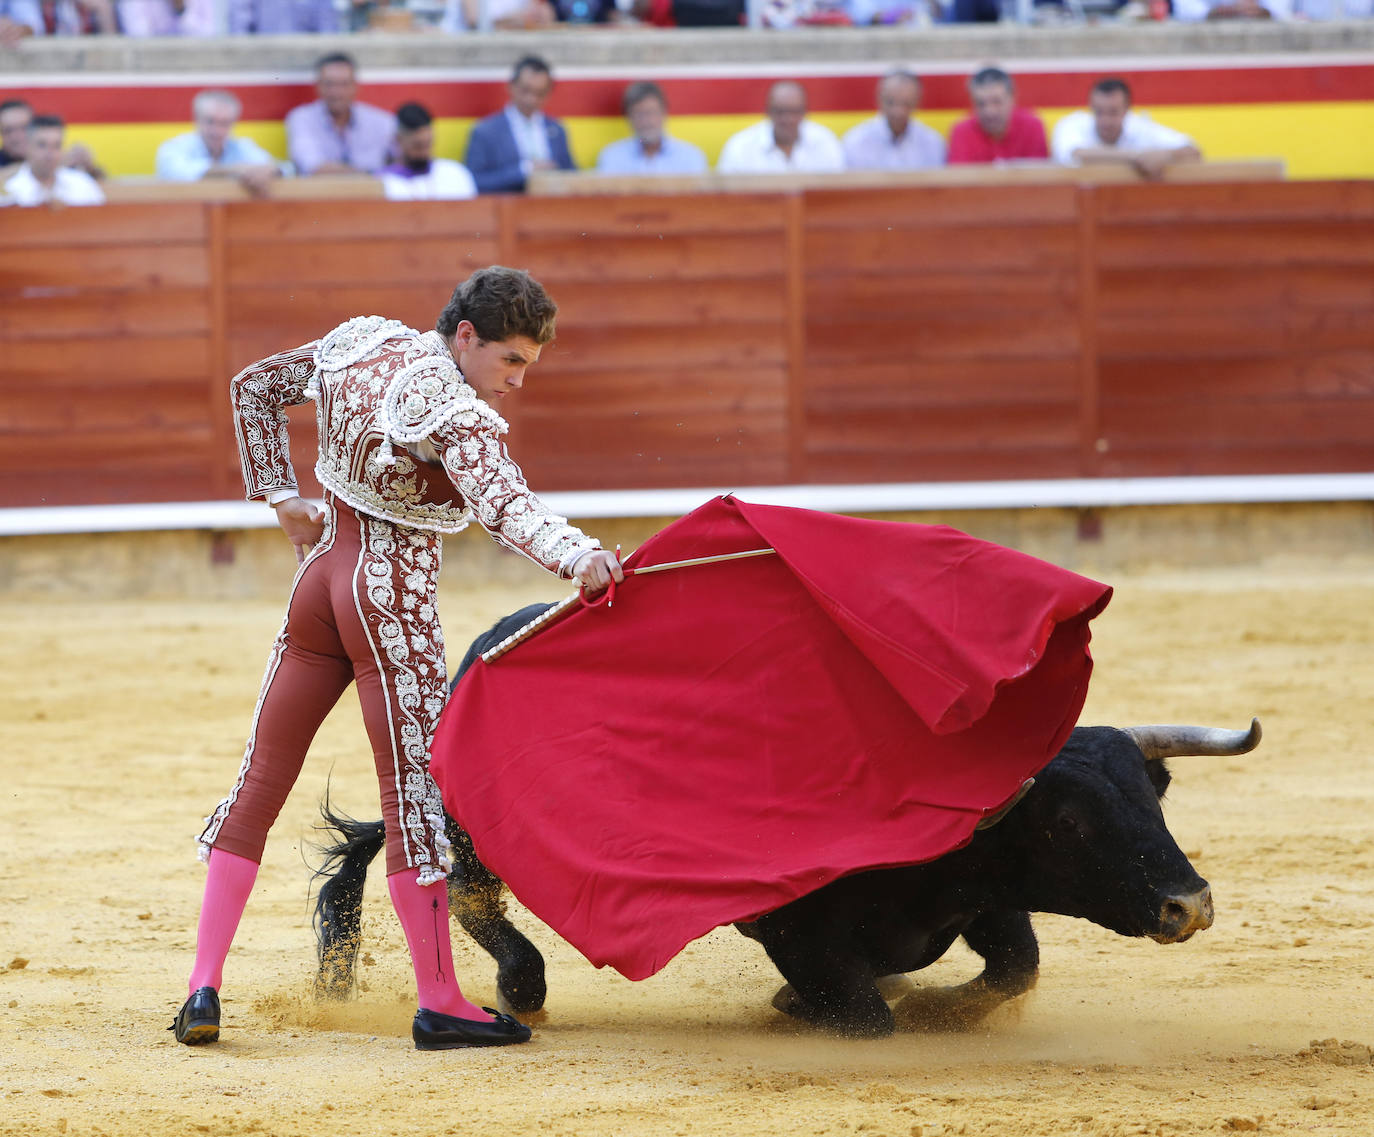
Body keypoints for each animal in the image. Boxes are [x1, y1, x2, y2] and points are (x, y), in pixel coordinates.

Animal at [309, 604, 1258, 1038]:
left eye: (1154, 794)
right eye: (1067, 824)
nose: (1190, 903)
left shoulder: (986, 899)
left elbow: (1012, 970)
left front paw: (924, 996)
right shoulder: (800, 933)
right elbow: (865, 1011)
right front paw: (801, 1005)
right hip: (476, 830)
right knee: (473, 898)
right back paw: (518, 990)